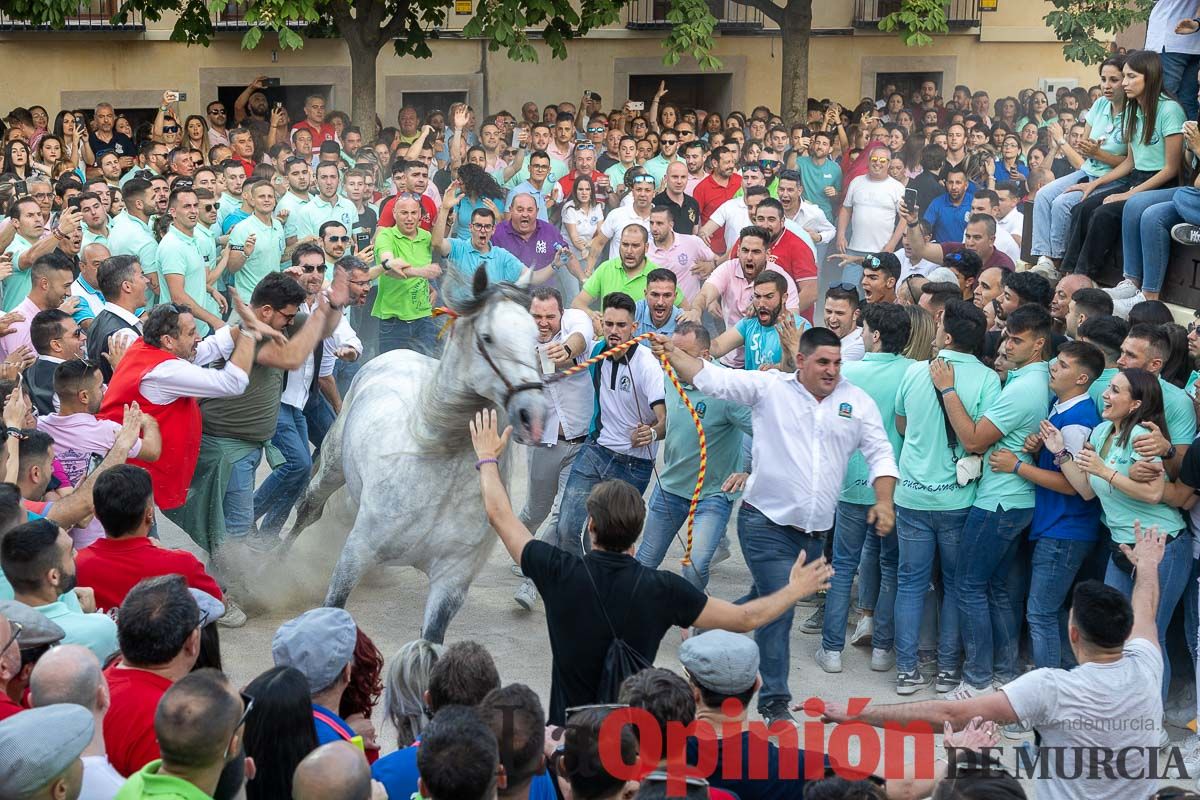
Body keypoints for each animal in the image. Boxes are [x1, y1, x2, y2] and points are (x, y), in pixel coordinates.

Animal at [283, 271, 547, 642]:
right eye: (488, 337)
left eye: (536, 337)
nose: (532, 415)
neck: (437, 465)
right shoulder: (357, 551)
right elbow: (333, 607)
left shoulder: (452, 582)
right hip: (333, 465)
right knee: (309, 507)